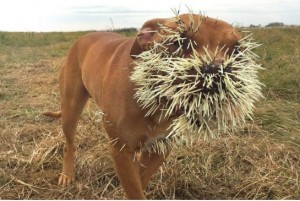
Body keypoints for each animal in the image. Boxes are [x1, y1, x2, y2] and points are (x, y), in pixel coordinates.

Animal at [45, 13, 241, 199]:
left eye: (237, 50)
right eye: (179, 41)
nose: (215, 71)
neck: (157, 101)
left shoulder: (161, 148)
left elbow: (140, 179)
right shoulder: (121, 150)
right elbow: (134, 188)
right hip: (71, 108)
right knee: (69, 144)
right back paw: (67, 174)